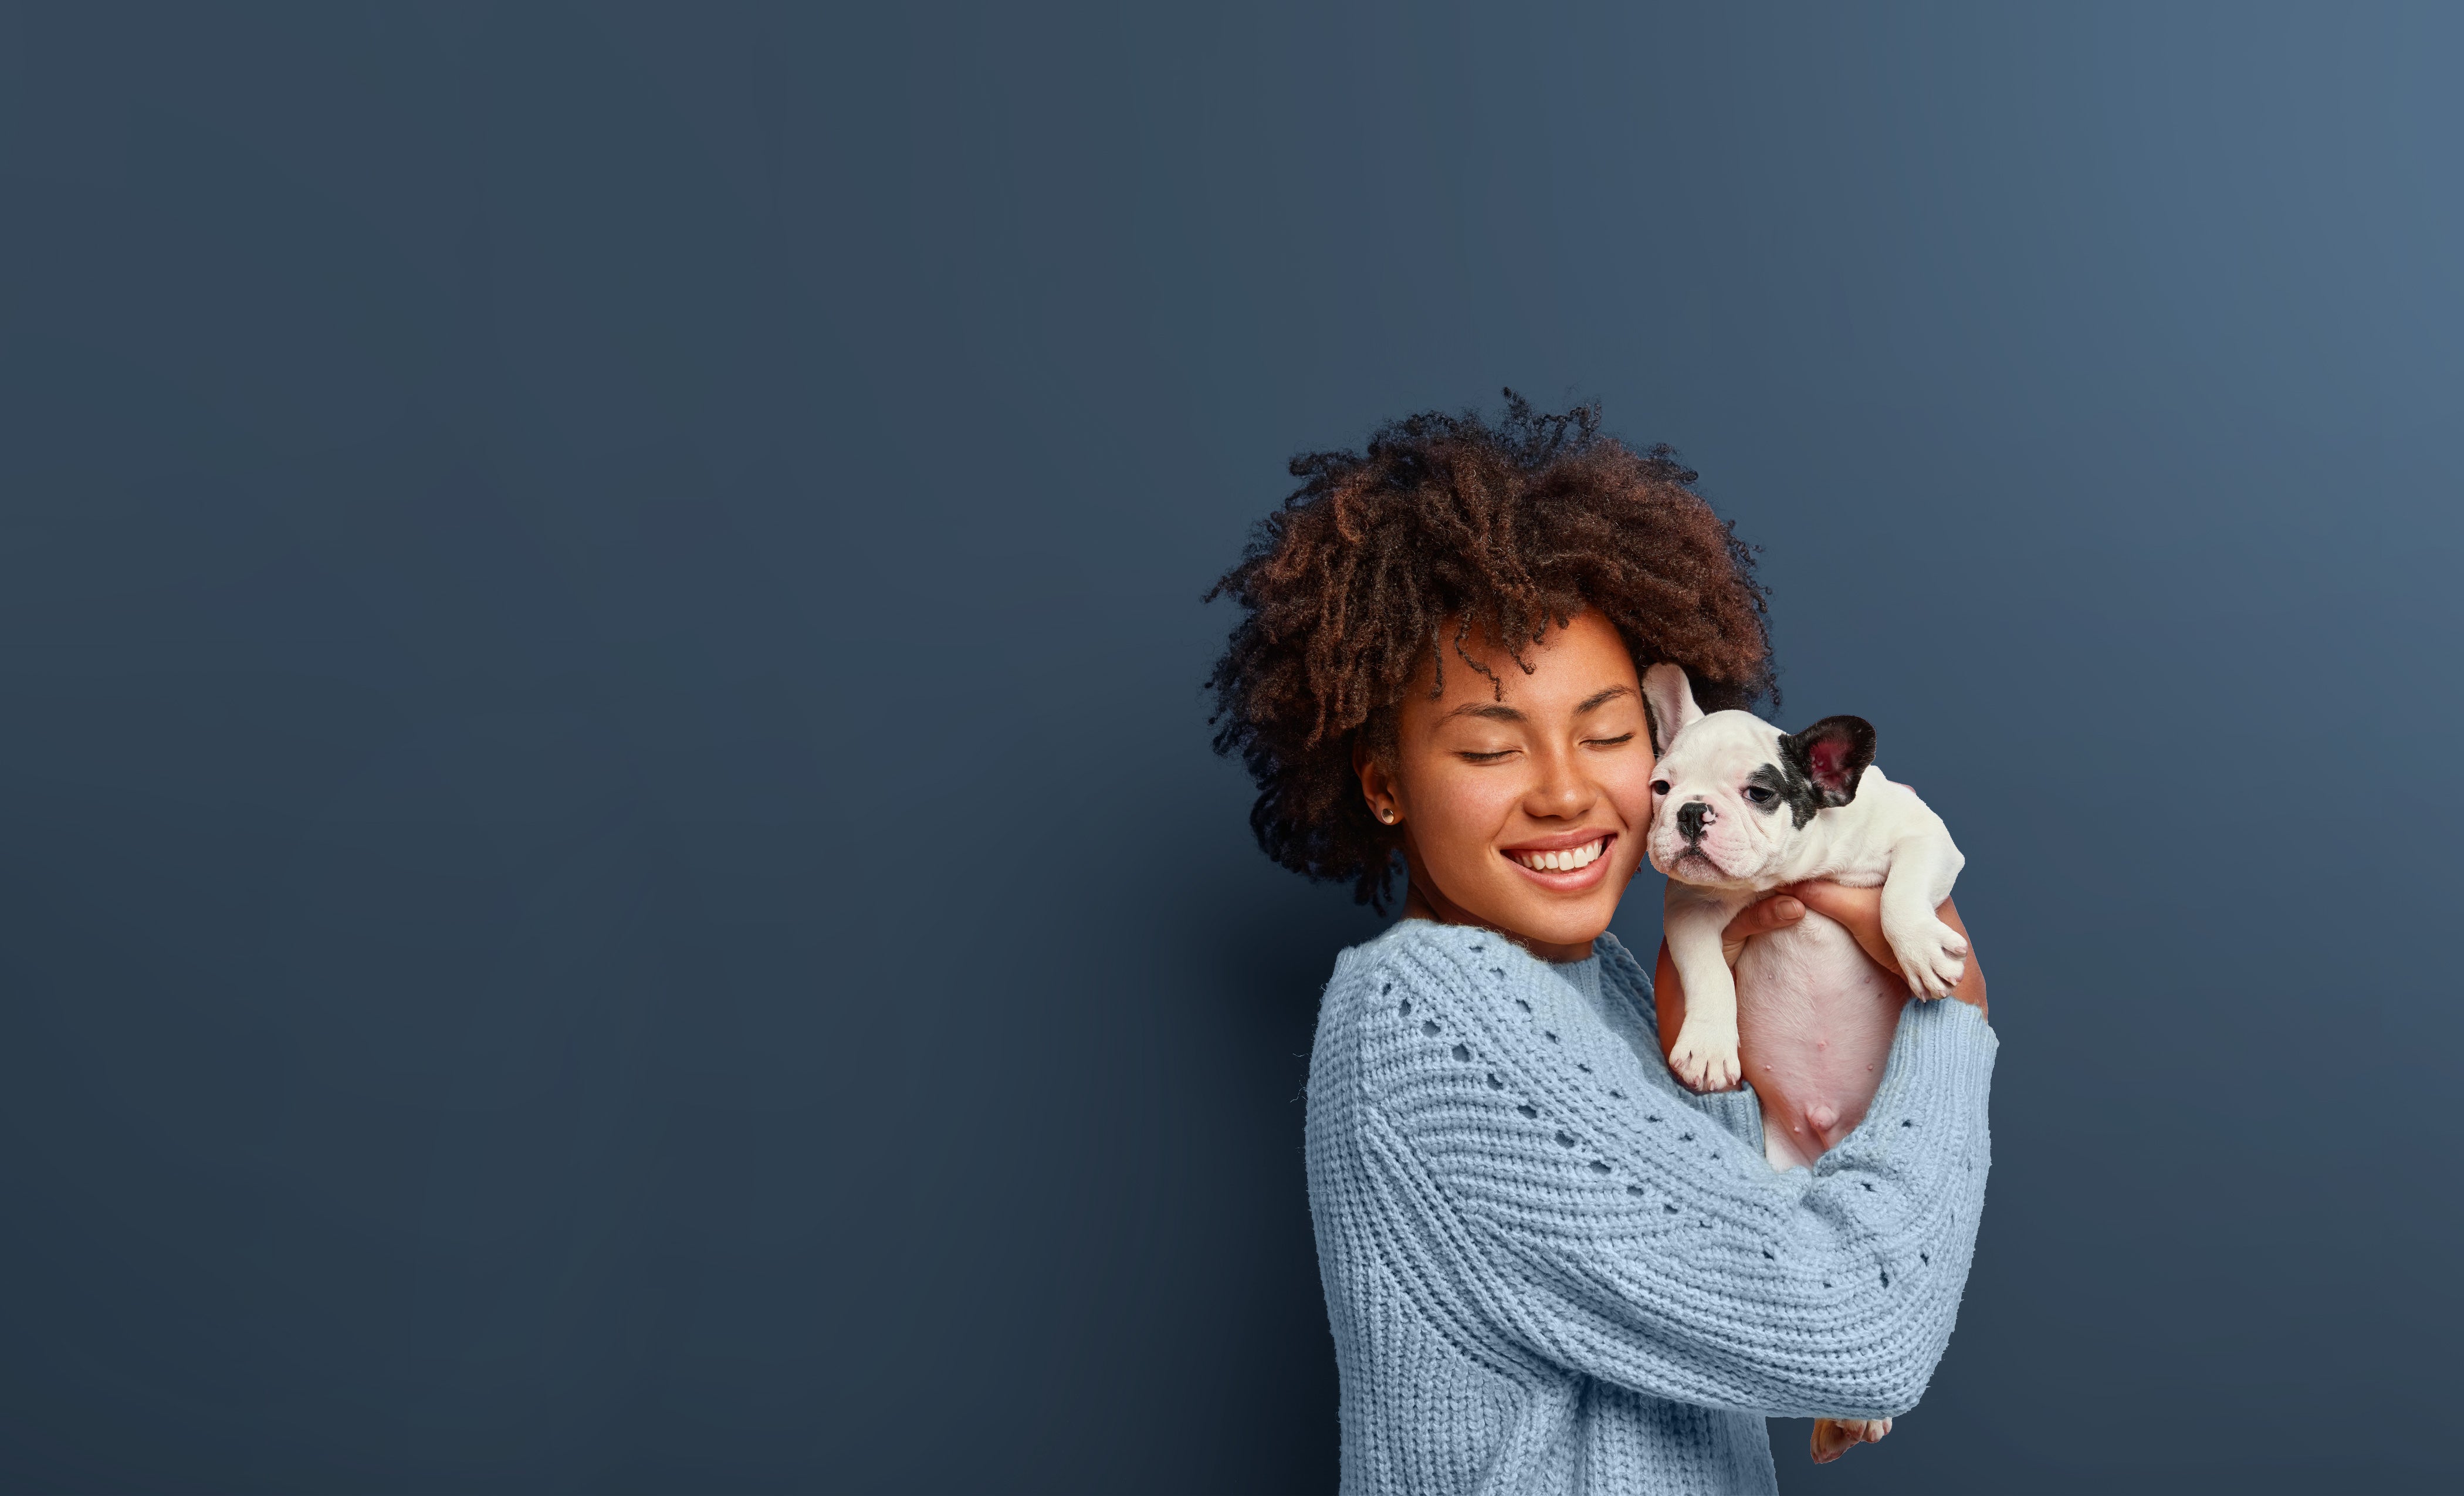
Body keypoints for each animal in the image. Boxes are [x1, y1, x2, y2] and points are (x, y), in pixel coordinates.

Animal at [1636, 665, 1961, 1173]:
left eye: (1760, 793)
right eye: (1661, 788)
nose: (1691, 811)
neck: (1786, 874)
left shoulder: (1924, 834)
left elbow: (1901, 893)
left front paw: (1921, 950)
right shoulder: (1690, 909)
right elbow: (1709, 973)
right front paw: (1709, 1046)